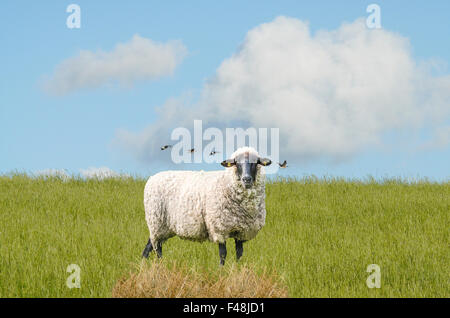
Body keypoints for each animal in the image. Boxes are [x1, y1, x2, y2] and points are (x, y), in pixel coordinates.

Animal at [142, 147, 272, 266]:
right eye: (236, 163)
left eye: (256, 162)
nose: (246, 179)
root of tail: (152, 178)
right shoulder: (219, 228)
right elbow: (223, 253)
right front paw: (221, 269)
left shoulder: (241, 232)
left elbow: (239, 253)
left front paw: (238, 268)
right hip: (156, 222)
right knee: (157, 248)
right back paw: (160, 264)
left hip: (163, 227)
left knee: (149, 246)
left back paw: (144, 264)